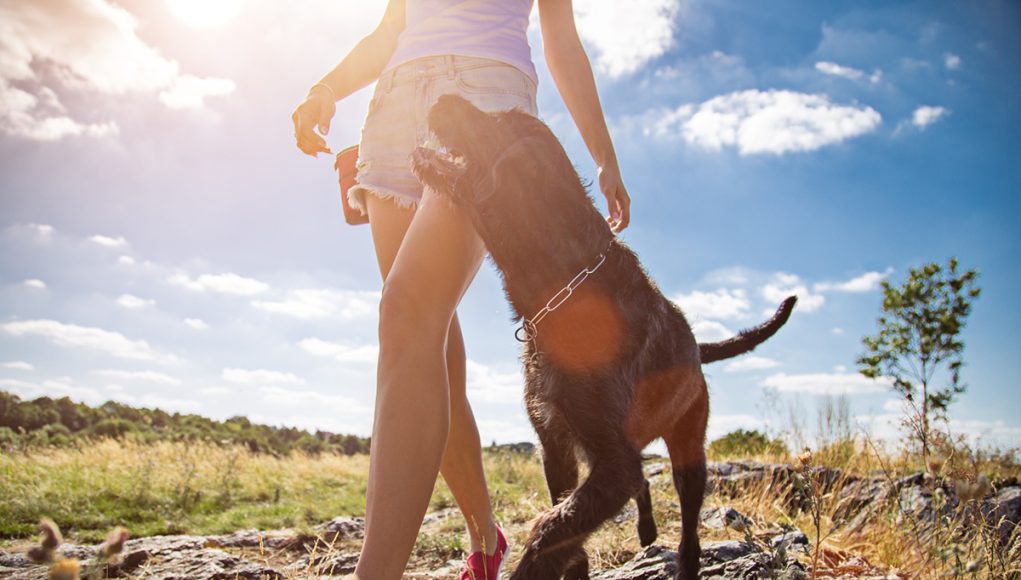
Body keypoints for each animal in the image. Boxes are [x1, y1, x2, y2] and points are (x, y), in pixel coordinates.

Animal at [410, 96, 792, 580]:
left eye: (499, 120)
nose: (442, 98)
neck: (567, 286)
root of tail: (695, 347)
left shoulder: (613, 461)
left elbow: (552, 528)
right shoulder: (557, 446)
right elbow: (567, 522)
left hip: (689, 449)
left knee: (688, 528)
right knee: (645, 484)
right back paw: (646, 531)